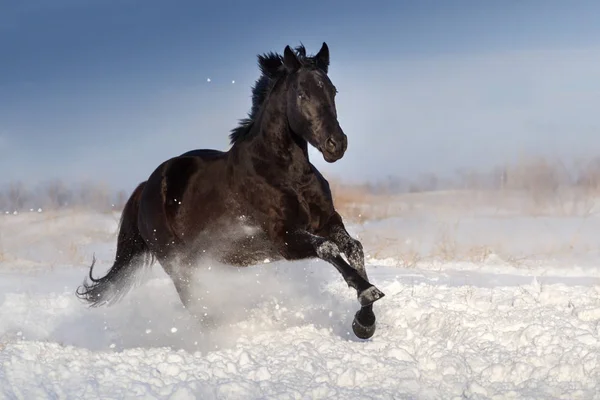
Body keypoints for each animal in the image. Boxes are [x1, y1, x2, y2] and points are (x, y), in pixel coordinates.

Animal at [77, 43, 384, 338]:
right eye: (302, 94)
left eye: (333, 91)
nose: (336, 144)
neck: (284, 172)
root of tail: (146, 187)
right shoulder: (283, 238)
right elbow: (328, 249)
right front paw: (367, 292)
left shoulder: (327, 220)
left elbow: (354, 248)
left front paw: (365, 321)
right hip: (176, 263)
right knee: (194, 302)